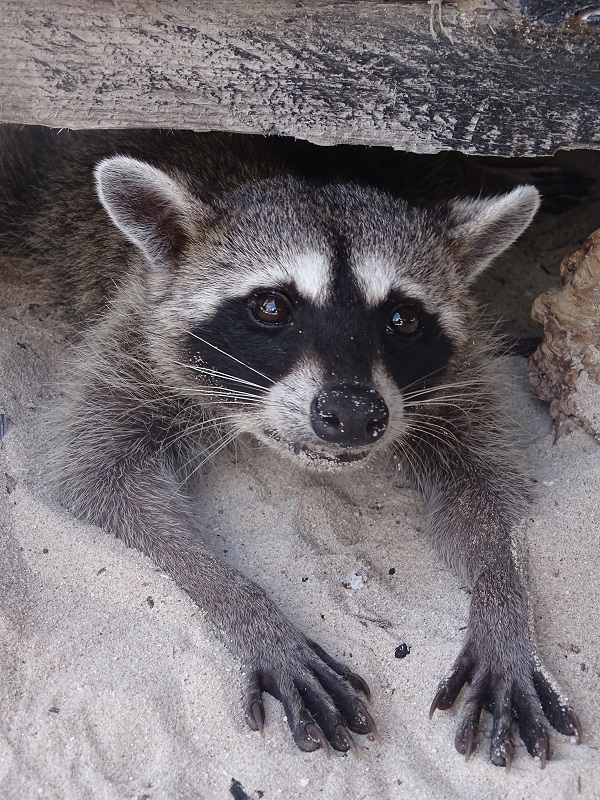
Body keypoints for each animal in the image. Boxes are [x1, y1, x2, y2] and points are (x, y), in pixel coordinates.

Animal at [0, 126, 581, 765]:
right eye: (271, 306)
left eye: (402, 317)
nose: (353, 415)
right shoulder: (137, 339)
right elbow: (101, 480)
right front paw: (247, 607)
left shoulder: (460, 373)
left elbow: (484, 486)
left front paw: (503, 603)